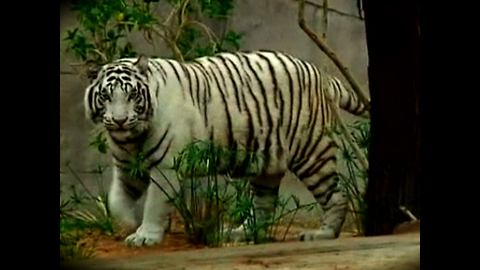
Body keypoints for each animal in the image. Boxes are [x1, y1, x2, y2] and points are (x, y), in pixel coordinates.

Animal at [84, 50, 370, 247]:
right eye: (106, 96)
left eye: (132, 95)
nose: (120, 120)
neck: (130, 139)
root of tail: (321, 74)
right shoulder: (126, 169)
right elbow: (116, 201)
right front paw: (129, 223)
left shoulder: (166, 167)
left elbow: (155, 203)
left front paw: (145, 236)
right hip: (267, 159)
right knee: (264, 205)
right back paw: (241, 233)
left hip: (311, 152)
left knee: (336, 195)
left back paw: (323, 233)